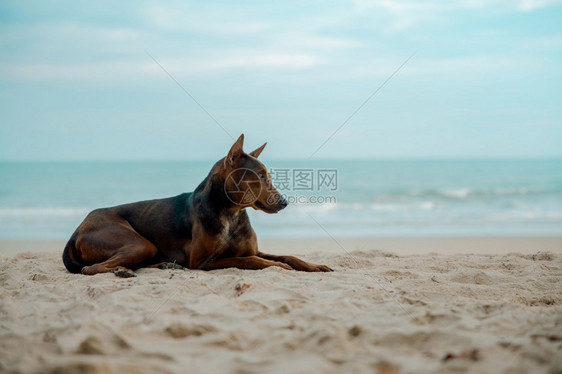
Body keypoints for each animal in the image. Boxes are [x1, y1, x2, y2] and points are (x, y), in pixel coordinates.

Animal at [62, 134, 332, 278]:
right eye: (261, 175)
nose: (285, 202)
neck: (230, 213)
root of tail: (76, 231)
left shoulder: (252, 249)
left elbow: (288, 255)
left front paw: (314, 265)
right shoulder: (202, 261)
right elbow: (251, 261)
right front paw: (276, 266)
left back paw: (158, 265)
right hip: (137, 242)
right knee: (89, 268)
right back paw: (122, 270)